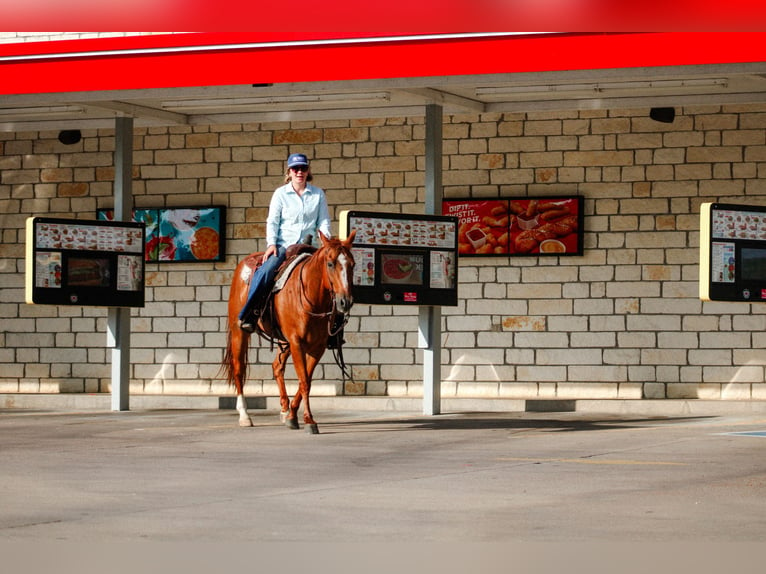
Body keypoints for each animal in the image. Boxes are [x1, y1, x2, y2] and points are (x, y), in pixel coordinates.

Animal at [220, 232, 356, 434]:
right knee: (239, 369)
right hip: (240, 332)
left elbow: (306, 380)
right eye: (330, 264)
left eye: (352, 264)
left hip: (283, 341)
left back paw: (284, 410)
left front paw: (292, 415)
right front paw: (309, 421)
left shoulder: (317, 347)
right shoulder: (297, 342)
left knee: (277, 366)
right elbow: (304, 381)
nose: (344, 302)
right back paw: (244, 415)